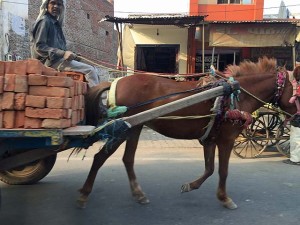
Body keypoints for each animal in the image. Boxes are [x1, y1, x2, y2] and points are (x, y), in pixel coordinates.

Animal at [77, 57, 296, 209]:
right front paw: (225, 198)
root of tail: (117, 82)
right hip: (123, 128)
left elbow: (209, 169)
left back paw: (138, 194)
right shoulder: (226, 139)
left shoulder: (210, 139)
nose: (297, 119)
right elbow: (223, 171)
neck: (235, 93)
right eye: (296, 92)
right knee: (100, 157)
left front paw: (191, 186)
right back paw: (84, 194)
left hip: (134, 128)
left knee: (127, 159)